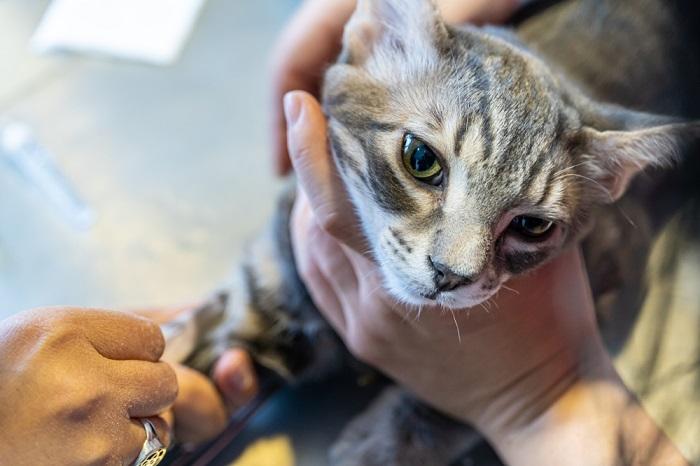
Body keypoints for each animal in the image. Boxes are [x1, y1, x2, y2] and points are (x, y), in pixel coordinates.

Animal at [167, 0, 700, 464]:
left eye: (531, 226)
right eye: (420, 159)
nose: (449, 274)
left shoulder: (613, 288)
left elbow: (449, 410)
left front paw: (381, 444)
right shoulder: (280, 254)